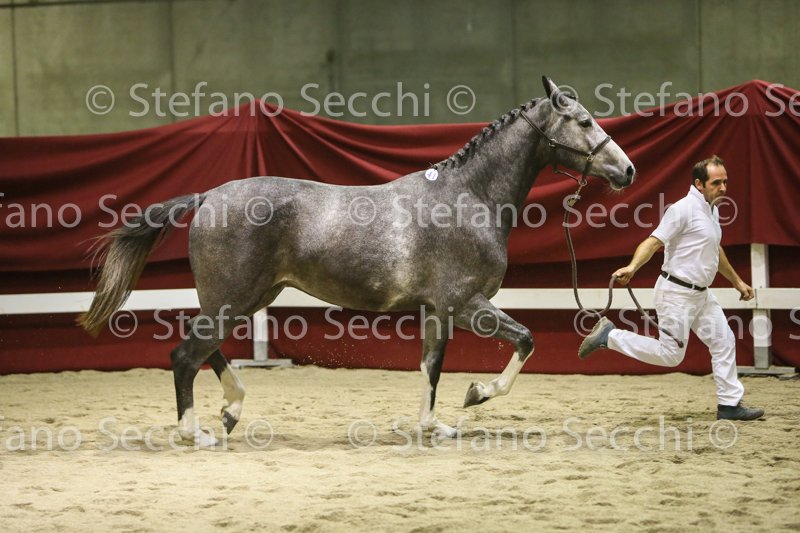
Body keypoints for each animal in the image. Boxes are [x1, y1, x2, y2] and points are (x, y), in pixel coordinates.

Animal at [79, 77, 635, 446]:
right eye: (584, 121)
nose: (627, 169)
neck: (469, 197)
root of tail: (209, 195)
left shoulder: (437, 312)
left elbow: (431, 366)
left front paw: (433, 425)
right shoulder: (465, 304)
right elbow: (524, 339)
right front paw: (477, 393)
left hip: (248, 296)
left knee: (203, 350)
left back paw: (231, 411)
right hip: (233, 297)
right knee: (185, 355)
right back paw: (197, 433)